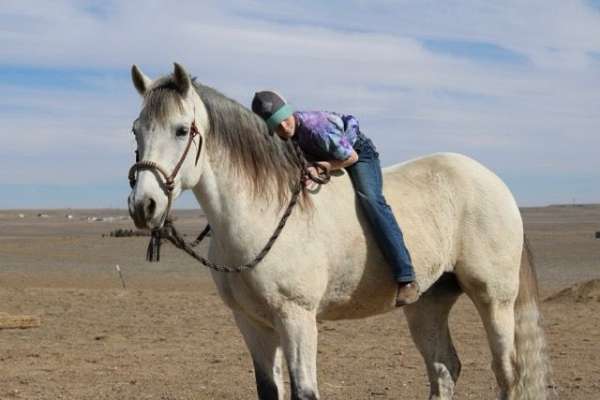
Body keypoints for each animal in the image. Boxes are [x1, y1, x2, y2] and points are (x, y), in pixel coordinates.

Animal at [129, 64, 552, 398]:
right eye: (136, 130)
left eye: (181, 130)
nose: (143, 205)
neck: (260, 213)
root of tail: (495, 183)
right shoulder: (252, 323)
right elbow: (269, 390)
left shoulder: (297, 318)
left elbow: (304, 392)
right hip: (428, 302)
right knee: (444, 369)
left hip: (494, 299)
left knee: (507, 373)